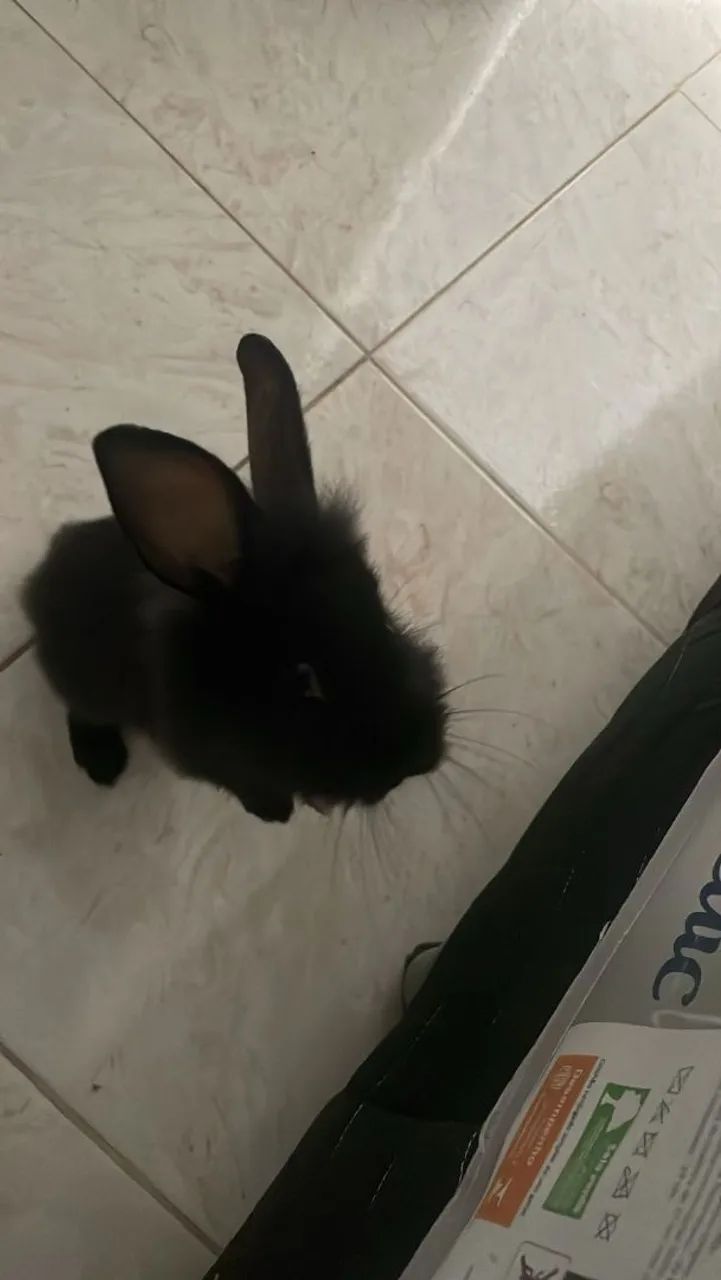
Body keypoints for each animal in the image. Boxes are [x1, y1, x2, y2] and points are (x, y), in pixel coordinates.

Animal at [22, 333, 447, 823]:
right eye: (304, 680)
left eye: (385, 619)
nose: (422, 758)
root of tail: (39, 579)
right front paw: (275, 812)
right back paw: (102, 761)